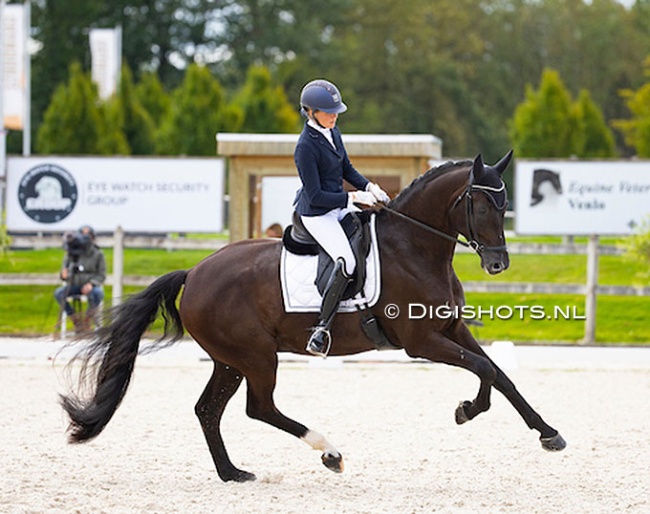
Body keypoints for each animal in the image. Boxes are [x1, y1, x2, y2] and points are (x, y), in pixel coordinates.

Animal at [63, 150, 564, 482]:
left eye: (505, 205)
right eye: (479, 204)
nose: (498, 264)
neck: (415, 248)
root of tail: (196, 271)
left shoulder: (450, 327)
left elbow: (498, 372)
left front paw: (544, 432)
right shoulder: (422, 342)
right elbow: (483, 368)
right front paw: (468, 410)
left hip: (230, 360)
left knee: (208, 409)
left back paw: (233, 473)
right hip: (256, 357)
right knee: (259, 407)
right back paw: (329, 452)